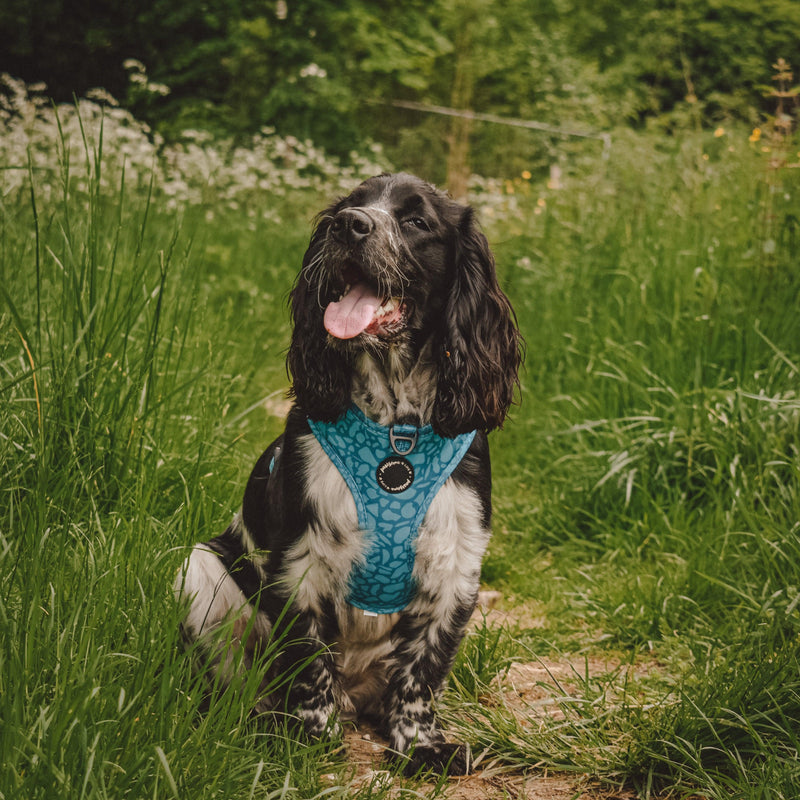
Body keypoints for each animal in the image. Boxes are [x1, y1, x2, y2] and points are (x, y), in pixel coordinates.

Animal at [177, 170, 520, 776]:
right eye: (350, 205)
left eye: (417, 220)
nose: (349, 225)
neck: (394, 433)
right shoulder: (303, 559)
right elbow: (309, 661)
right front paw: (309, 738)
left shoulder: (455, 563)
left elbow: (422, 672)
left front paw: (422, 745)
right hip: (200, 568)